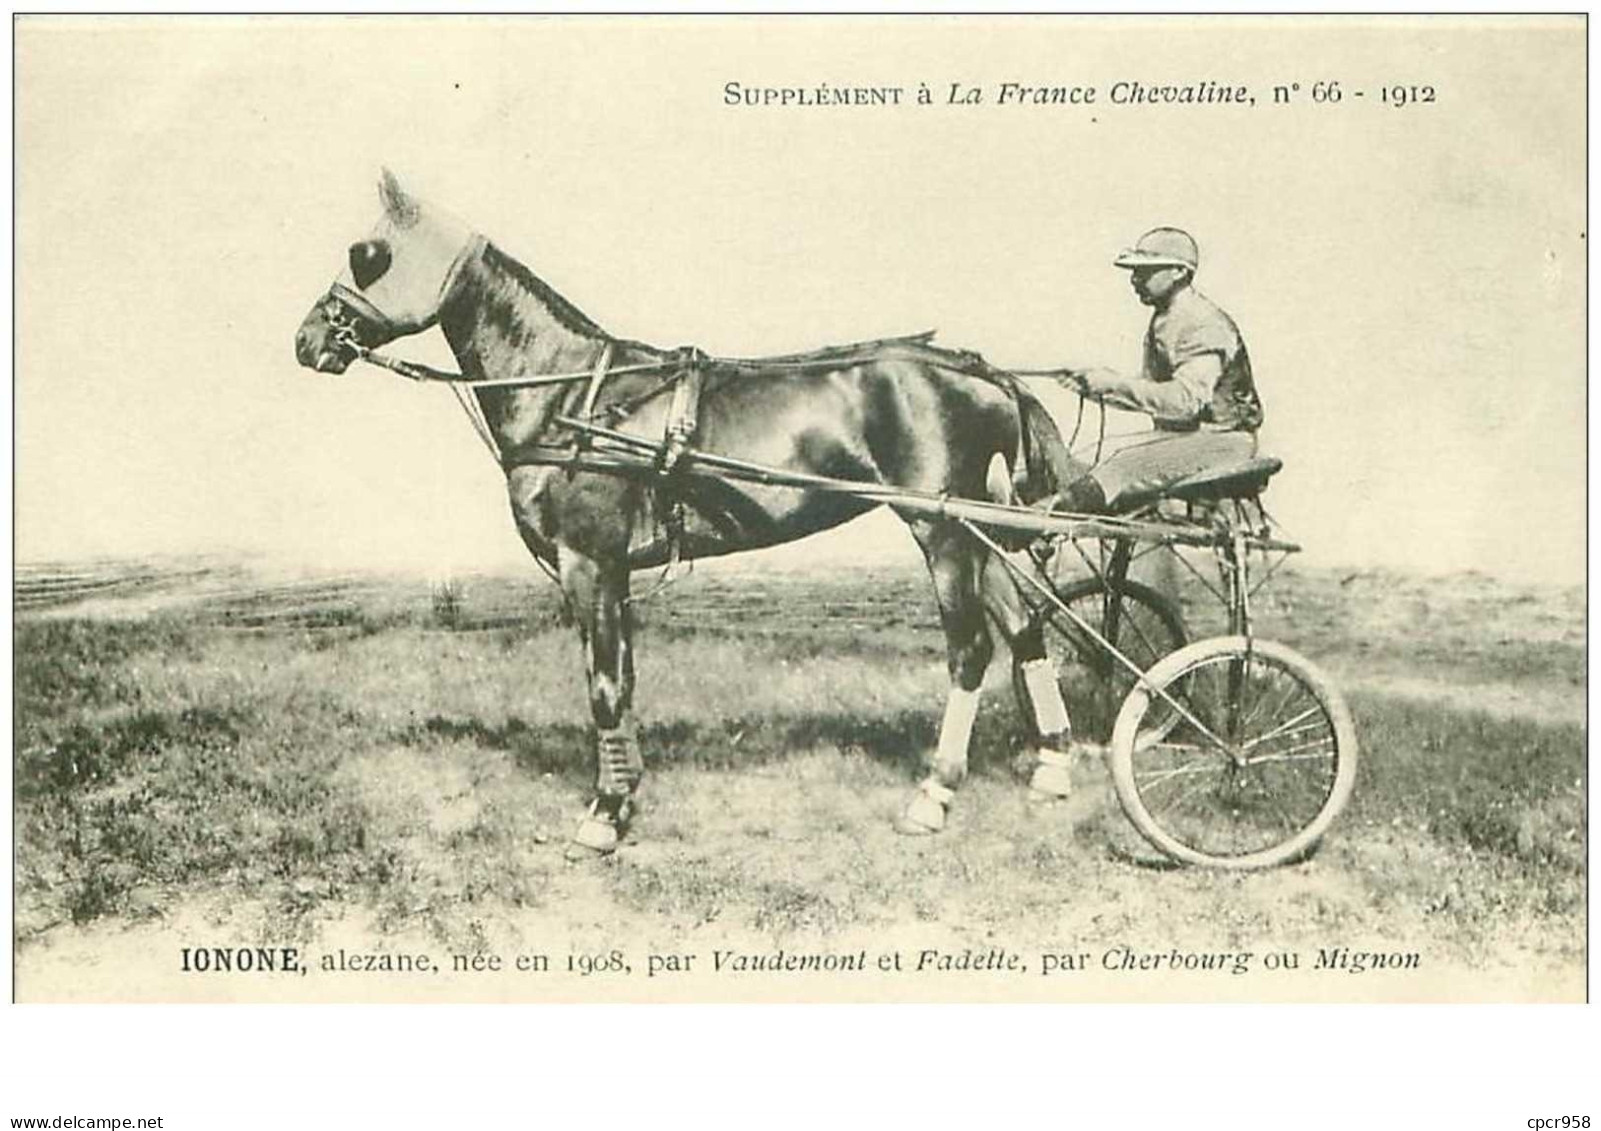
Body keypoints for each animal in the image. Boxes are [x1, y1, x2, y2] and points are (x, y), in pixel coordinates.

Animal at [291, 171, 1088, 852]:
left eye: (368, 254)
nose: (308, 339)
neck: (570, 396)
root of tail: (979, 370)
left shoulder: (588, 561)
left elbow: (603, 686)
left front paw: (603, 815)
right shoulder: (614, 570)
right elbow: (623, 680)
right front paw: (623, 796)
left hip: (939, 527)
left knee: (971, 648)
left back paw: (934, 793)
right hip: (975, 527)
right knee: (1023, 627)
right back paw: (1053, 767)